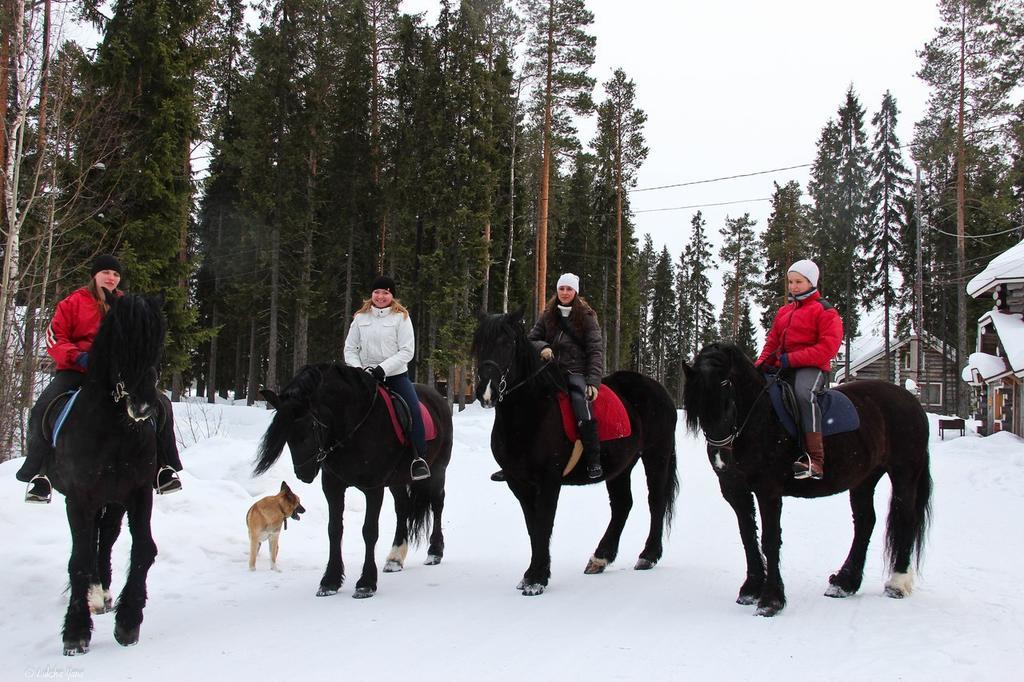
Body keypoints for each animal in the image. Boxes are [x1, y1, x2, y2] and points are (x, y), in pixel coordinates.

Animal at [48, 292, 166, 655]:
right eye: (120, 341)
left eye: (158, 341)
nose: (143, 406)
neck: (114, 429)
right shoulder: (79, 498)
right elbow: (79, 560)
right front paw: (75, 631)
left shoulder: (138, 492)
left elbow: (143, 549)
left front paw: (128, 621)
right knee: (89, 543)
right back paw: (93, 595)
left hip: (112, 501)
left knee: (106, 537)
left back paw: (103, 593)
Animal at [254, 360, 452, 593]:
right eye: (286, 432)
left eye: (310, 425)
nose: (304, 473)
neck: (352, 427)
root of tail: (438, 397)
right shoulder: (332, 486)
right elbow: (334, 530)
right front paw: (330, 581)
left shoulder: (373, 488)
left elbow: (369, 531)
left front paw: (366, 583)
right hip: (397, 480)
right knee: (402, 508)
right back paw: (395, 558)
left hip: (438, 470)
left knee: (437, 504)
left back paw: (435, 552)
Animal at [471, 311, 679, 593]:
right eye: (479, 343)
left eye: (507, 343)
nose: (486, 391)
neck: (530, 412)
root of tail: (659, 389)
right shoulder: (518, 482)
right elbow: (533, 526)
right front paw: (532, 574)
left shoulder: (549, 479)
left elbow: (543, 524)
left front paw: (537, 579)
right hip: (622, 466)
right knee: (623, 505)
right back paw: (600, 558)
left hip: (656, 455)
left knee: (655, 501)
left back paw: (648, 555)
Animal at [684, 342, 933, 614]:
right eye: (697, 401)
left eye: (726, 384)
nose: (722, 454)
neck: (759, 418)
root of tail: (910, 400)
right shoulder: (735, 490)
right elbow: (748, 536)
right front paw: (750, 589)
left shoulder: (768, 491)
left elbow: (770, 540)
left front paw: (771, 600)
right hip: (864, 478)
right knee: (865, 522)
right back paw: (844, 583)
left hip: (903, 472)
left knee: (904, 519)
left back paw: (897, 583)